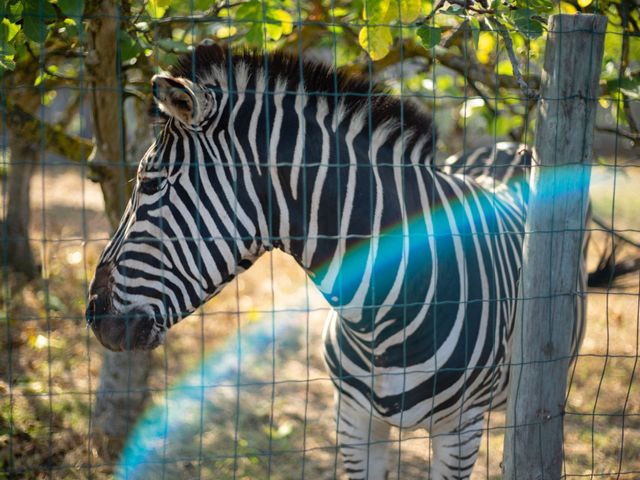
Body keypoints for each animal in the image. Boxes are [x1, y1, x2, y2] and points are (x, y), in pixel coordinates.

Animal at [87, 43, 588, 478]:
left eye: (151, 183)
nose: (94, 315)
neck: (379, 317)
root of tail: (510, 149)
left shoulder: (458, 432)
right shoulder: (353, 421)